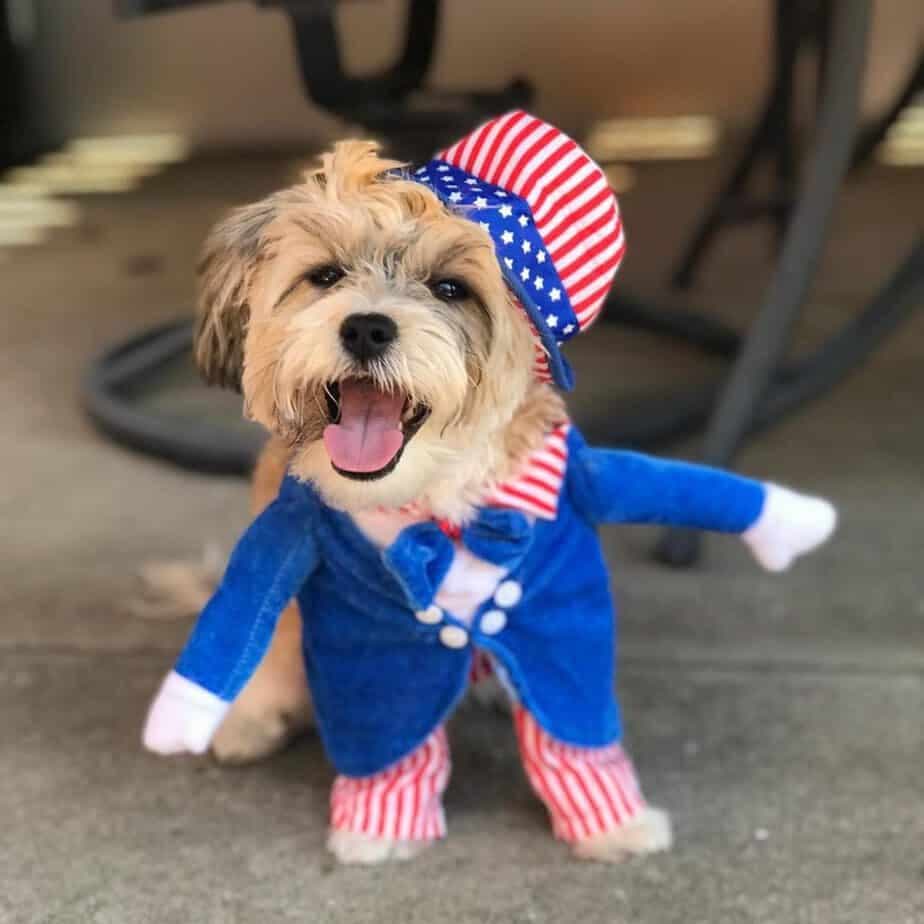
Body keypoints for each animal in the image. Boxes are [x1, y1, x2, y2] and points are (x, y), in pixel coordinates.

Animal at [144, 112, 836, 864]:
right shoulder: (366, 641)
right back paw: (249, 716)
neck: (436, 504)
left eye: (452, 289)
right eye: (324, 276)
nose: (365, 326)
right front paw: (380, 825)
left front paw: (612, 822)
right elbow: (387, 732)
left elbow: (573, 726)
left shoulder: (559, 614)